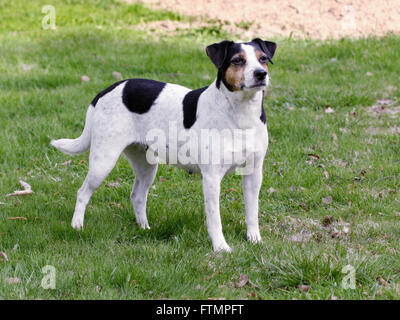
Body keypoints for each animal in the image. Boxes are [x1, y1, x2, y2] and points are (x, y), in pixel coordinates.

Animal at [51, 38, 276, 252]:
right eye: (237, 60)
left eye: (263, 58)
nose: (261, 74)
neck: (240, 115)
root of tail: (107, 90)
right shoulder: (212, 177)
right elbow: (214, 219)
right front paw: (220, 247)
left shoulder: (254, 174)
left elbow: (252, 212)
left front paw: (254, 239)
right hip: (103, 161)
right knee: (83, 192)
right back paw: (77, 225)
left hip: (146, 166)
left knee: (137, 196)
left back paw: (144, 228)